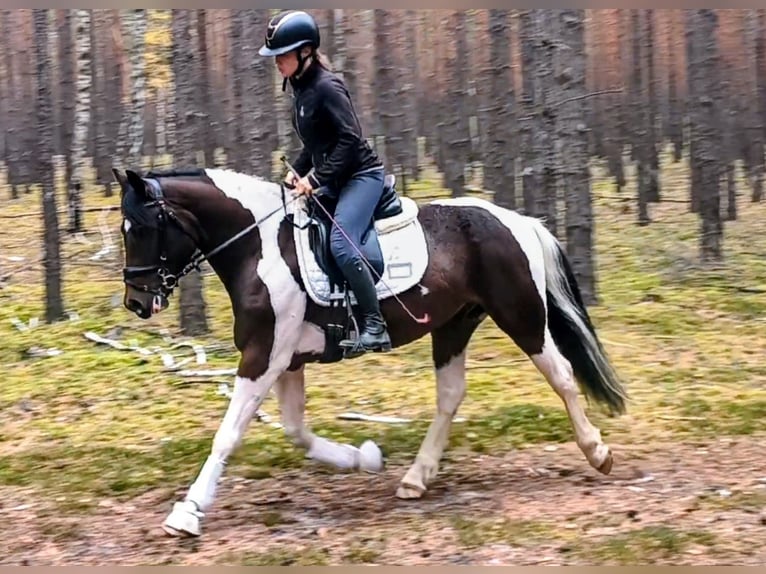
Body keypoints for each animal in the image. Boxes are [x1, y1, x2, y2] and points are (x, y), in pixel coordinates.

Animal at [112, 165, 628, 538]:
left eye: (141, 227)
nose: (136, 301)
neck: (259, 246)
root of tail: (518, 221)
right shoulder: (285, 360)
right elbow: (297, 432)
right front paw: (364, 458)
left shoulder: (263, 357)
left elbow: (228, 435)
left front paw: (187, 512)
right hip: (453, 326)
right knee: (450, 396)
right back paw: (415, 478)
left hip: (521, 316)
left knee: (561, 375)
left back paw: (598, 452)